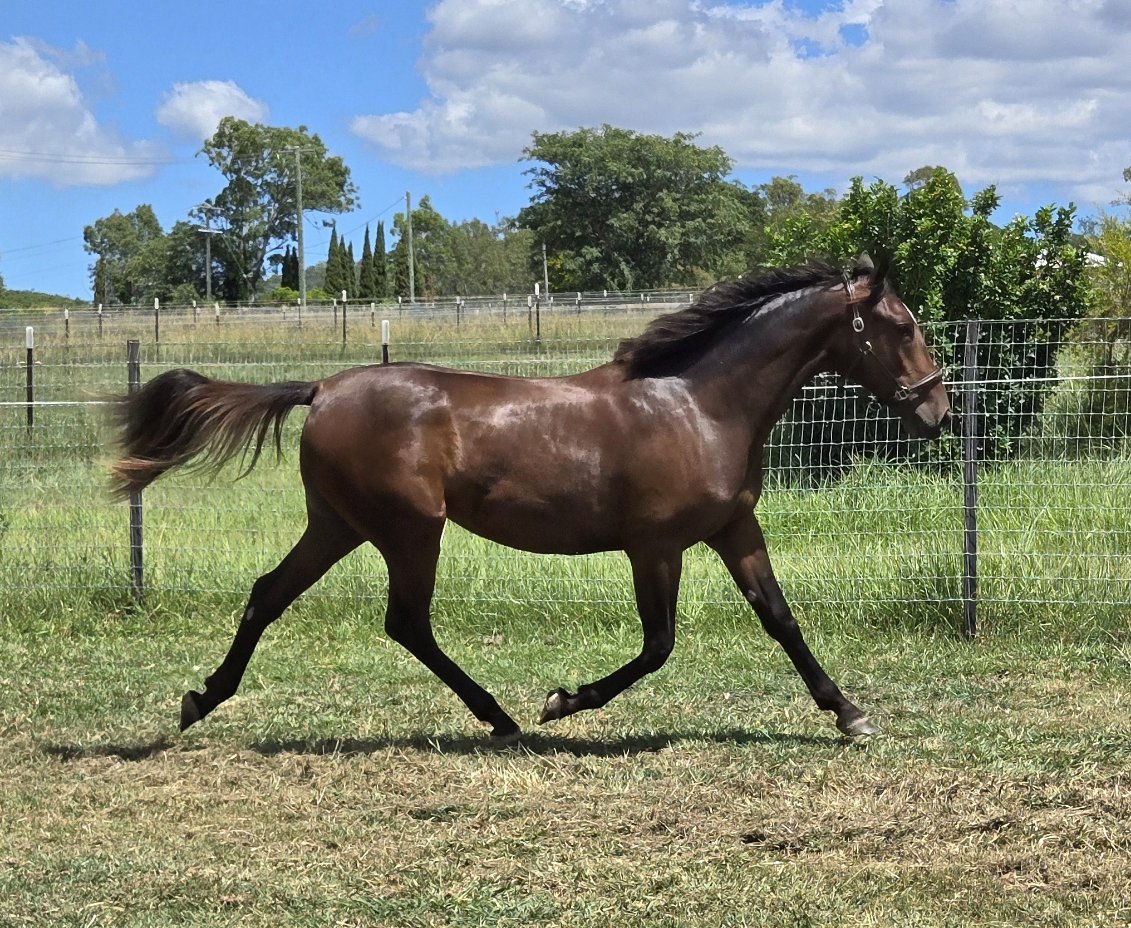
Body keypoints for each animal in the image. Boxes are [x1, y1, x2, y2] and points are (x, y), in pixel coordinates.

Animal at [110, 259, 949, 742]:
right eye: (903, 325)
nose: (937, 412)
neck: (698, 404)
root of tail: (321, 388)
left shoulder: (734, 527)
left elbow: (779, 618)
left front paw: (848, 713)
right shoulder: (655, 547)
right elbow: (658, 645)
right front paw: (561, 701)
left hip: (339, 526)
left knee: (268, 595)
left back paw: (199, 700)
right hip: (409, 529)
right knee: (406, 622)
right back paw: (505, 720)